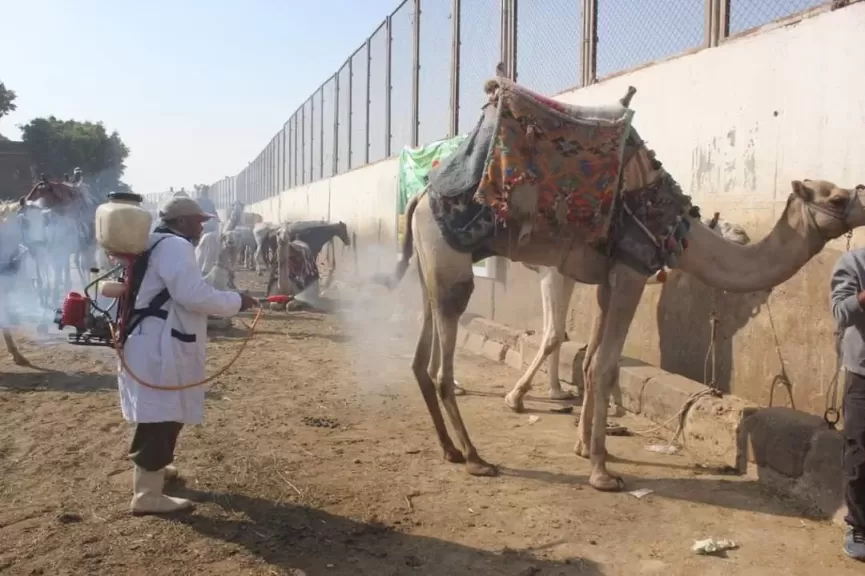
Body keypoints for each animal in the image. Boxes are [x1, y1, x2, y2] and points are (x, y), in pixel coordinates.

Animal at [506, 215, 748, 410]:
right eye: (715, 224)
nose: (742, 233)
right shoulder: (553, 269)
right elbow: (554, 333)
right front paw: (516, 396)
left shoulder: (565, 273)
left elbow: (557, 331)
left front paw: (556, 391)